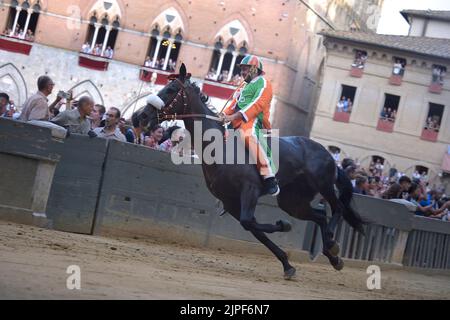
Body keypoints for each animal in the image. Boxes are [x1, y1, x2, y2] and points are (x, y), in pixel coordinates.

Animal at [135, 63, 364, 278]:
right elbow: (253, 227)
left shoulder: (249, 191)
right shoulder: (230, 202)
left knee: (337, 208)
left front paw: (284, 227)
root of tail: (329, 155)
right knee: (320, 215)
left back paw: (332, 244)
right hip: (292, 201)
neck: (220, 148)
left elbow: (250, 222)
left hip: (323, 185)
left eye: (171, 89)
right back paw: (332, 255)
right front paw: (287, 263)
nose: (141, 116)